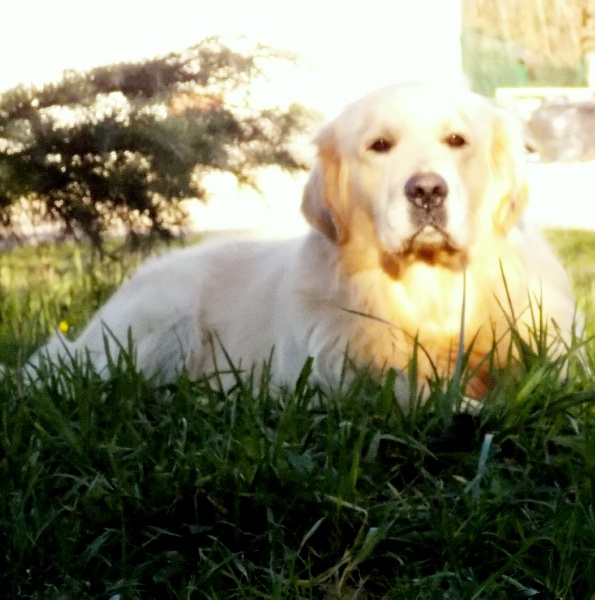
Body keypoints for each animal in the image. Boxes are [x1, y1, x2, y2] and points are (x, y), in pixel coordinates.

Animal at [25, 82, 580, 406]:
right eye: (380, 145)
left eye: (457, 141)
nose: (426, 191)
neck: (430, 294)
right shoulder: (341, 378)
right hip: (166, 317)